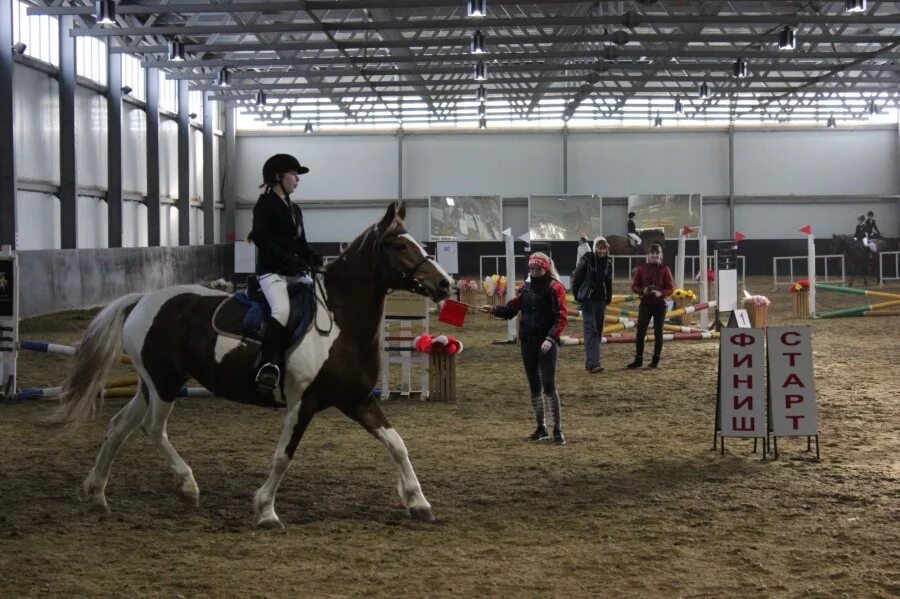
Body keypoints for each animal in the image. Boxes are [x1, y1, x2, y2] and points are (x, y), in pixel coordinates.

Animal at [46, 203, 454, 528]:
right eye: (399, 245)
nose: (445, 284)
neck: (340, 323)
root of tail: (143, 300)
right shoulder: (302, 403)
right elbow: (283, 456)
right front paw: (266, 511)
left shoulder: (357, 399)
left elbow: (397, 444)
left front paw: (419, 503)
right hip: (164, 384)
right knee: (152, 429)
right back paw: (187, 485)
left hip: (151, 385)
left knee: (118, 428)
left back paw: (97, 495)